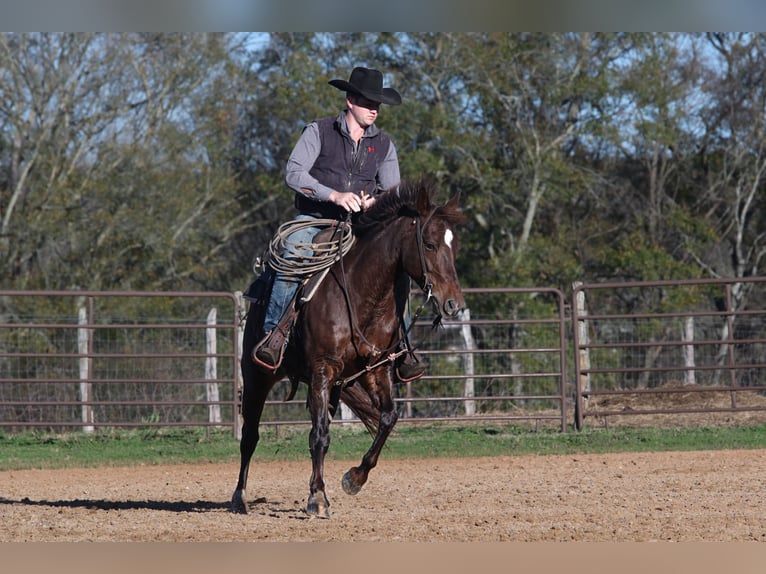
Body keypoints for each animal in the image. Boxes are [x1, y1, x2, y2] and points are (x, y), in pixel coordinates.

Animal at [231, 181, 464, 520]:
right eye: (430, 244)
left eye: (454, 245)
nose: (453, 304)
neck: (361, 292)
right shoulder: (323, 368)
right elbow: (320, 435)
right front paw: (317, 498)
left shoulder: (376, 369)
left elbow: (387, 419)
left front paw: (353, 478)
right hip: (257, 376)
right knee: (250, 436)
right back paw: (240, 497)